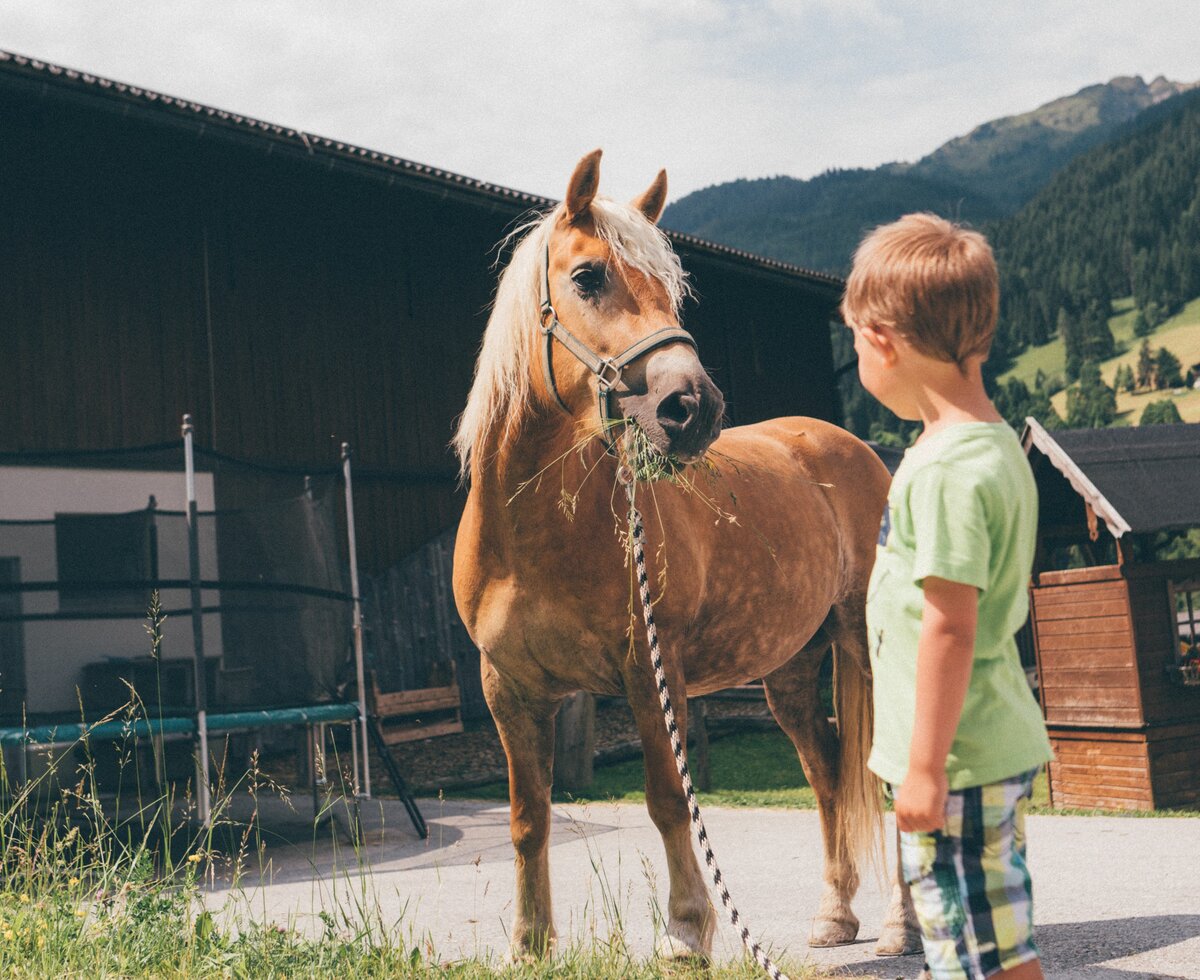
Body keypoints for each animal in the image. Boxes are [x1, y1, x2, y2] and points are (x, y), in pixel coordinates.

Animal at [451, 149, 916, 959]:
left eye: (671, 289)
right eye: (587, 277)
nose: (692, 407)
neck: (534, 538)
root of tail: (851, 448)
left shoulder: (651, 668)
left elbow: (669, 800)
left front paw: (687, 929)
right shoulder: (507, 688)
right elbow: (528, 817)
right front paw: (530, 944)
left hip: (863, 641)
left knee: (878, 771)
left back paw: (900, 927)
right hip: (790, 667)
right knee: (825, 768)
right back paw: (834, 915)